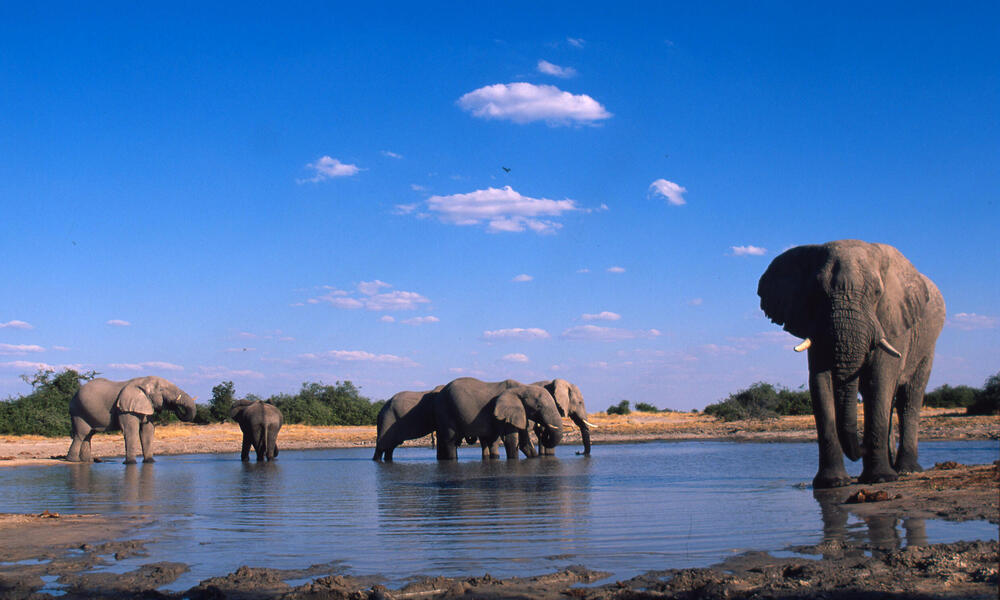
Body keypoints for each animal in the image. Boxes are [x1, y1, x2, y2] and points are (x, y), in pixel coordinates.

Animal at [65, 376, 197, 464]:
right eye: (162, 390)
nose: (173, 405)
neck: (143, 382)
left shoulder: (145, 404)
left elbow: (148, 430)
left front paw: (150, 461)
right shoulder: (125, 408)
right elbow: (131, 430)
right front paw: (130, 463)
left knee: (89, 434)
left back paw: (87, 461)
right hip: (79, 412)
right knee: (81, 433)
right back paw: (73, 460)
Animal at [432, 378, 564, 462]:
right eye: (538, 406)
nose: (544, 430)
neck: (522, 387)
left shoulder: (519, 412)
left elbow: (524, 442)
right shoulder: (503, 414)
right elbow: (511, 440)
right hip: (445, 411)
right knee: (450, 441)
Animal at [756, 241, 944, 490]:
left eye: (877, 293)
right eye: (816, 292)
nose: (861, 446)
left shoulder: (892, 319)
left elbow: (879, 379)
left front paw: (880, 479)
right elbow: (821, 383)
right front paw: (833, 483)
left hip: (927, 344)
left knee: (909, 397)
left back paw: (906, 470)